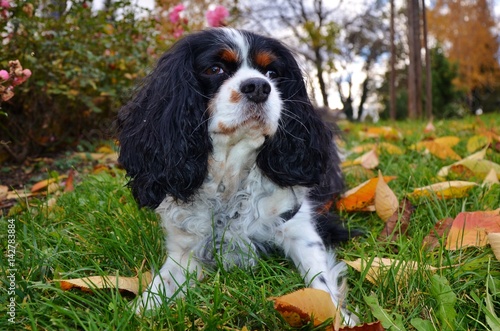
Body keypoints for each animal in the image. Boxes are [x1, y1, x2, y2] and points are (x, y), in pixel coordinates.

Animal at [117, 26, 358, 326]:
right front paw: (139, 310)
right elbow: (162, 285)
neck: (231, 175)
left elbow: (321, 282)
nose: (258, 87)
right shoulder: (184, 251)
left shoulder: (299, 227)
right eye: (215, 69)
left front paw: (339, 318)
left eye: (272, 73)